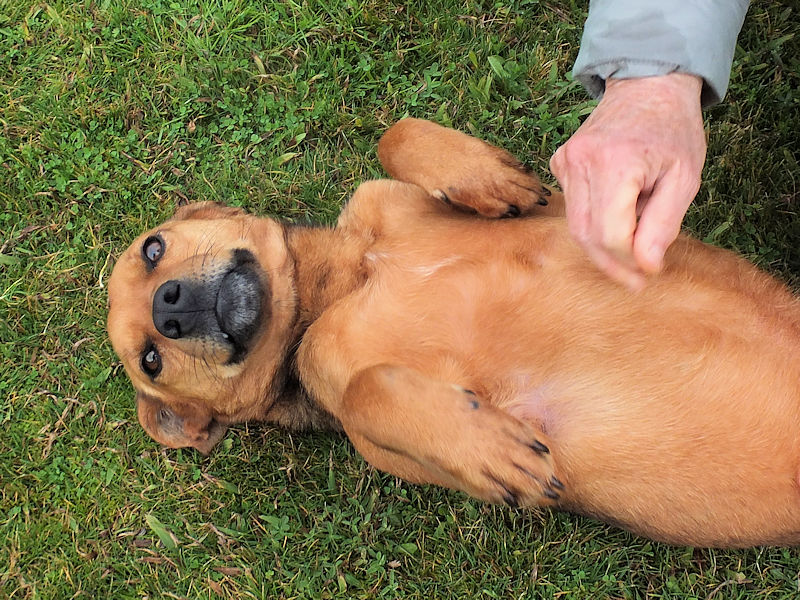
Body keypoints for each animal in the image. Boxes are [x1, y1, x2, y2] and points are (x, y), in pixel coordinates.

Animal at [108, 119, 800, 547]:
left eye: (153, 248)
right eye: (150, 360)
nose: (169, 307)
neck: (346, 283)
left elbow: (397, 134)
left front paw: (487, 176)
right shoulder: (365, 428)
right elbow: (368, 390)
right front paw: (488, 448)